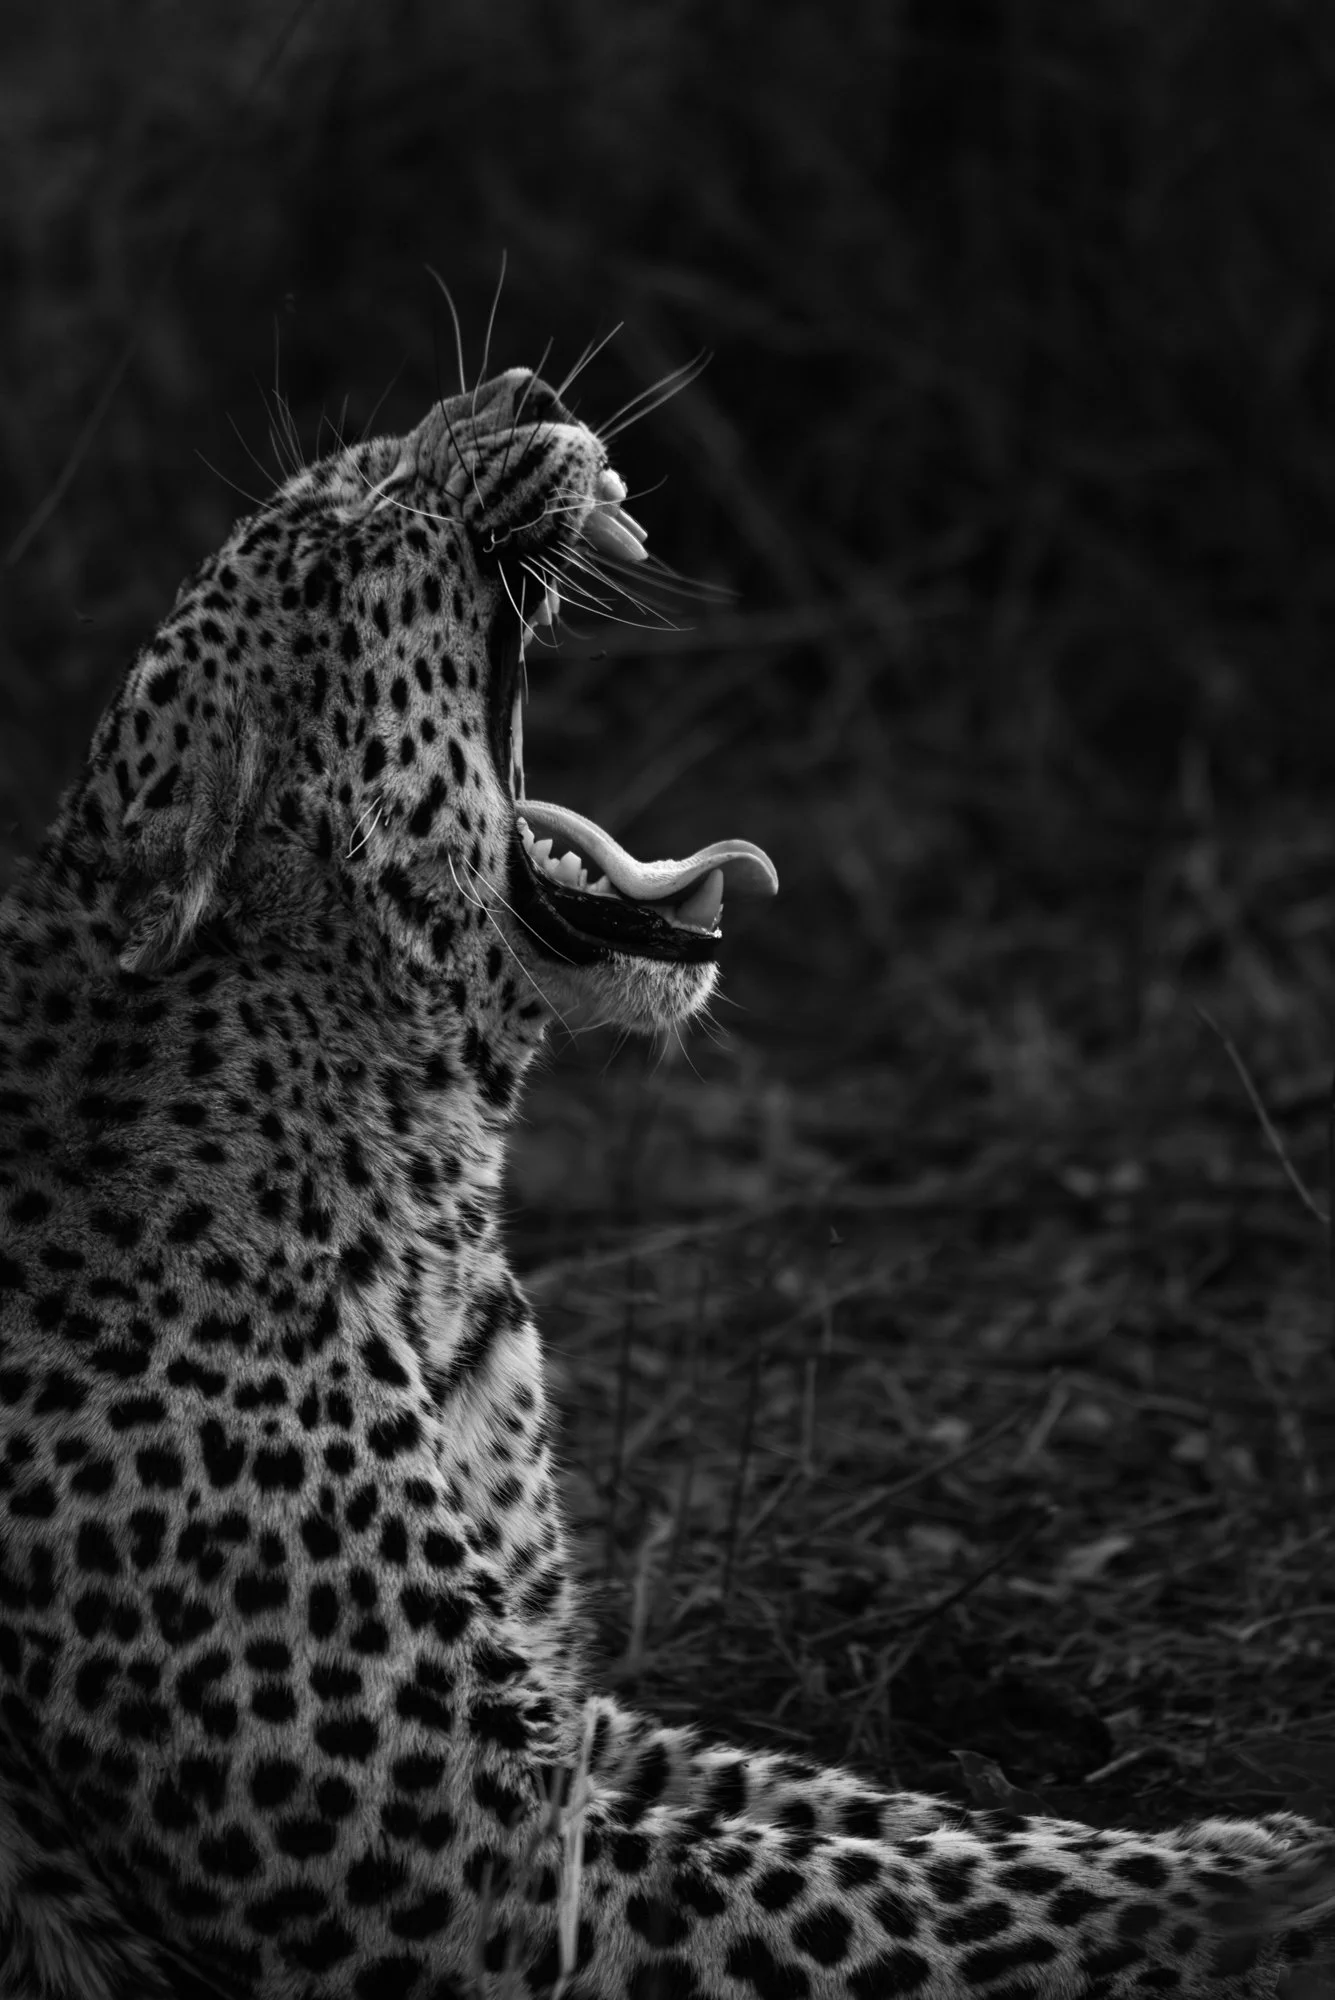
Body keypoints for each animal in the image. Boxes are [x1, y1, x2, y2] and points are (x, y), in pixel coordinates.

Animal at [0, 361, 1333, 2000]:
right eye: (343, 529)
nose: (523, 385)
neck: (432, 1186)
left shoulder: (566, 1727)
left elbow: (886, 1818)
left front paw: (1220, 1840)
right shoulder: (479, 1872)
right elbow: (893, 1895)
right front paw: (1259, 1893)